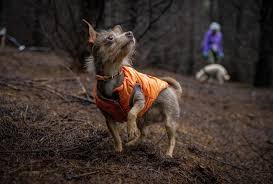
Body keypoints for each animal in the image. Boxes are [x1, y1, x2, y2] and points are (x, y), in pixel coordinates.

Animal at [83, 19, 181, 157]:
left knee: (172, 139)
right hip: (142, 118)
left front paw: (130, 129)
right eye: (110, 38)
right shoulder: (108, 119)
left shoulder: (139, 101)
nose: (129, 33)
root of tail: (173, 91)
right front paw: (118, 151)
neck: (112, 77)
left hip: (169, 122)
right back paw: (132, 143)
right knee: (144, 133)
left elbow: (131, 113)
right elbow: (116, 137)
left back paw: (168, 154)